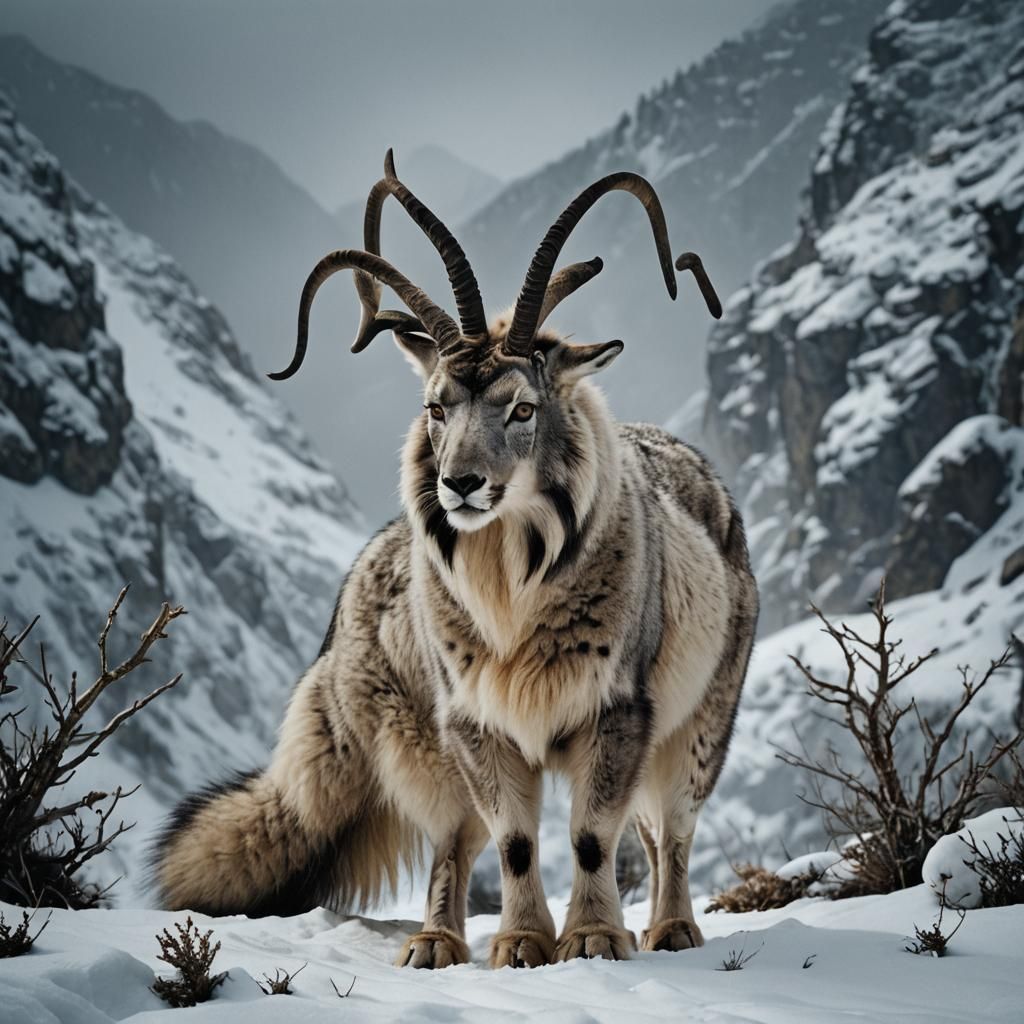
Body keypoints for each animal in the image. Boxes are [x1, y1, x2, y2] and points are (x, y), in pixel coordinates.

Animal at [151, 151, 758, 969]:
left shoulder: (617, 710)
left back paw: (669, 928)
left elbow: (591, 835)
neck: (511, 595)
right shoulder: (475, 722)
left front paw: (593, 937)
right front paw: (523, 943)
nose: (460, 483)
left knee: (670, 827)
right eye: (436, 405)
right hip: (419, 744)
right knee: (454, 843)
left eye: (522, 407)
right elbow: (514, 841)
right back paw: (435, 941)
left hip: (698, 725)